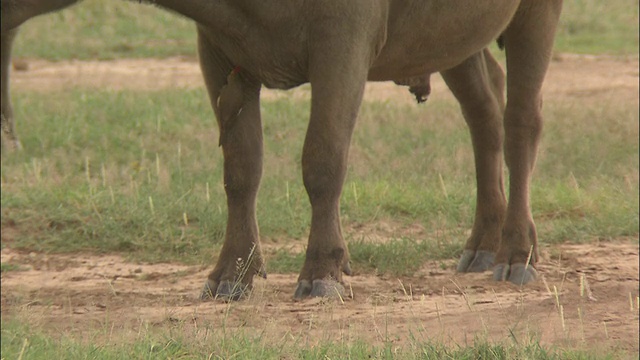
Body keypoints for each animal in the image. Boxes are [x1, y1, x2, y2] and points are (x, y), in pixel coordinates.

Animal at [1, 1, 560, 300]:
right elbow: (241, 168)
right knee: (484, 109)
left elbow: (323, 158)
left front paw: (323, 270)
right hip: (451, 36)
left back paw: (516, 251)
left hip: (534, 12)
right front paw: (232, 273)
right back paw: (482, 242)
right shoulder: (220, 47)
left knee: (521, 121)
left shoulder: (343, 42)